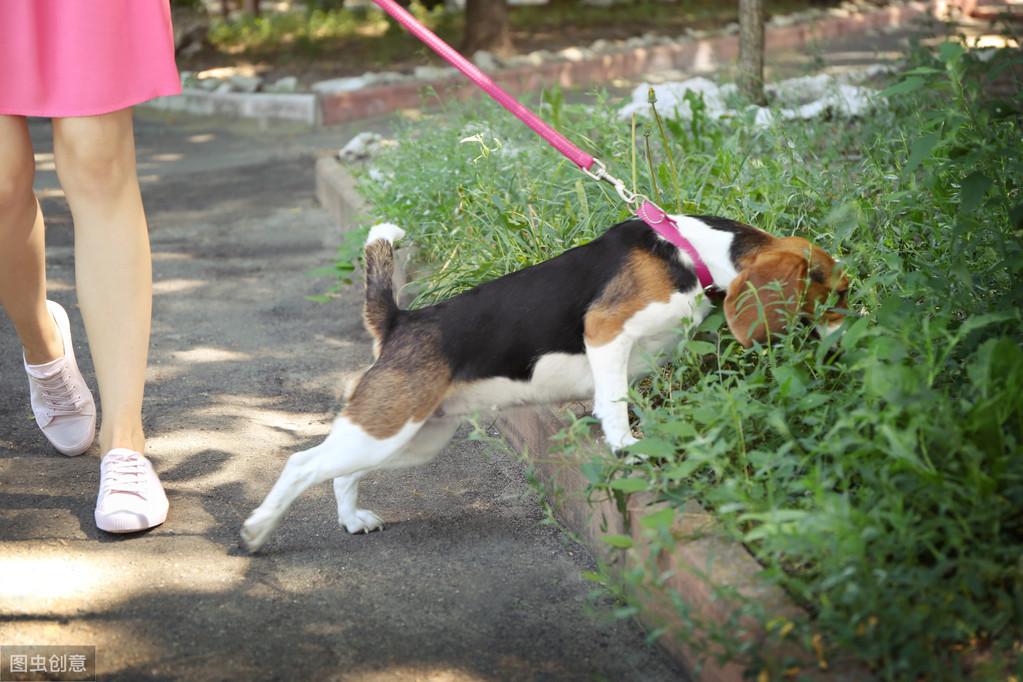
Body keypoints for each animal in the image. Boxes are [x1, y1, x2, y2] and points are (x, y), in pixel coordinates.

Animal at [241, 215, 847, 552]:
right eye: (835, 293)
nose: (846, 341)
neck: (690, 252)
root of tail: (399, 321)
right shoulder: (606, 333)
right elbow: (615, 403)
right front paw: (626, 447)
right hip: (388, 424)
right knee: (302, 465)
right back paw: (257, 532)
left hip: (407, 438)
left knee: (340, 471)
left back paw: (351, 521)